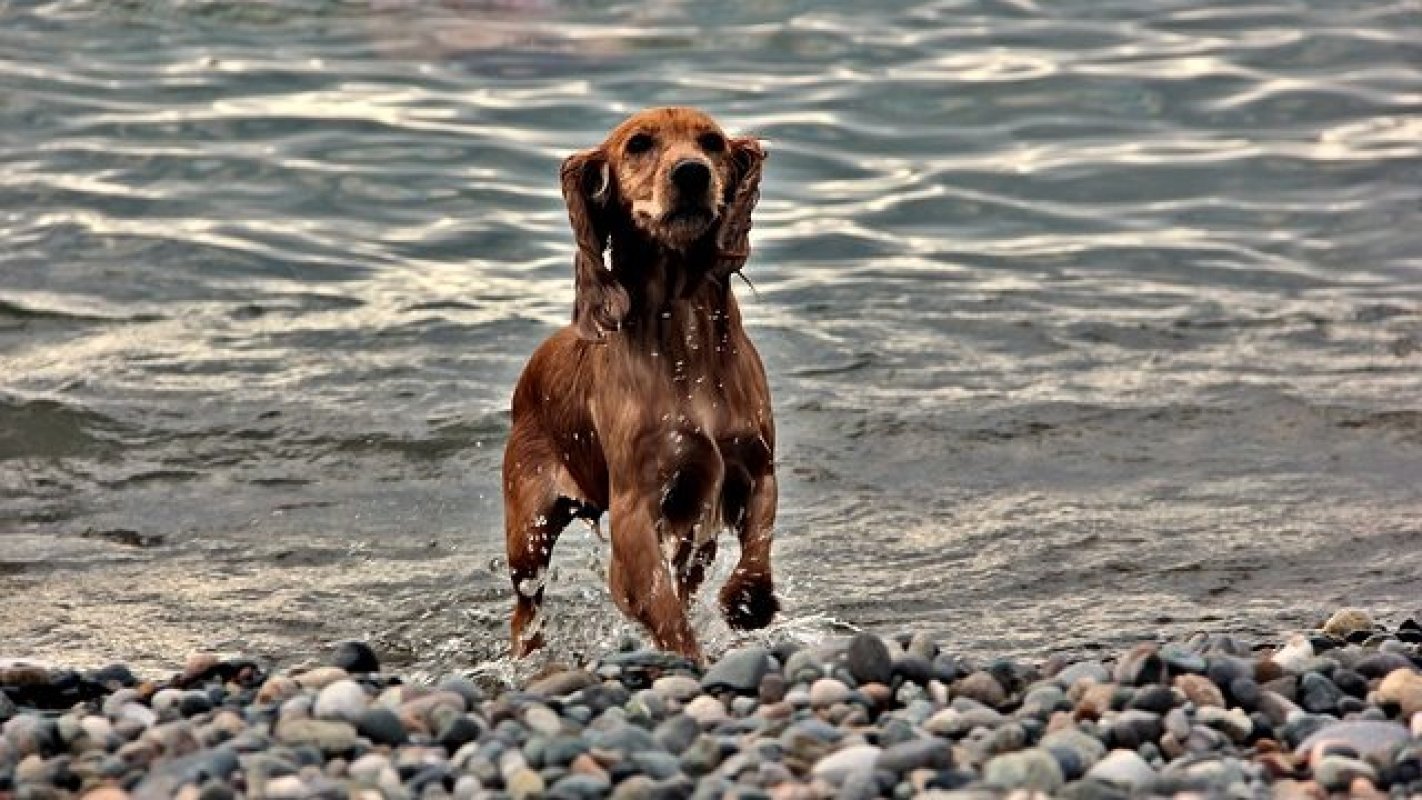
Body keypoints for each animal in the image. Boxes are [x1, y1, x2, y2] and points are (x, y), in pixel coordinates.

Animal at [503, 106, 779, 659]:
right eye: (638, 144)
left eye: (712, 143)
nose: (692, 173)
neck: (682, 332)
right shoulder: (635, 508)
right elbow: (662, 606)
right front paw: (692, 656)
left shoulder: (753, 466)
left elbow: (758, 545)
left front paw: (748, 602)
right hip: (528, 531)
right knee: (526, 606)